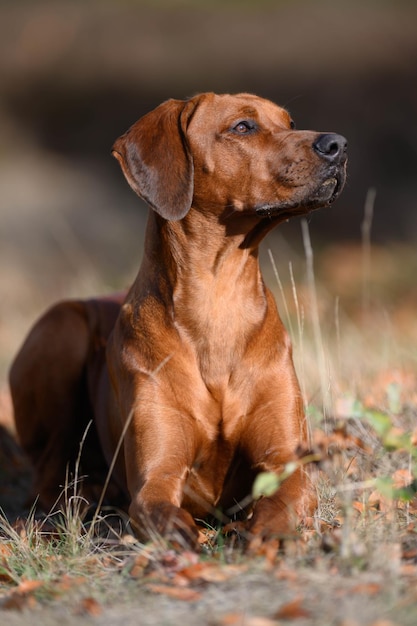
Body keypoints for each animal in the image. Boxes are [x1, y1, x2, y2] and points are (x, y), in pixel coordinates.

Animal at [9, 92, 346, 544]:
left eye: (290, 122)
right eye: (243, 127)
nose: (338, 144)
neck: (217, 302)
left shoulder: (286, 466)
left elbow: (281, 504)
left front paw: (260, 534)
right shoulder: (157, 479)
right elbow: (166, 518)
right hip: (62, 326)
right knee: (47, 473)